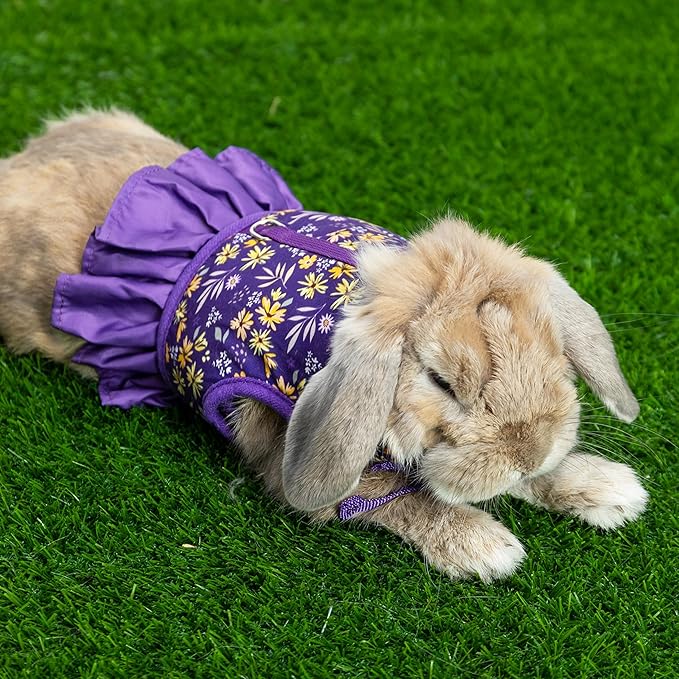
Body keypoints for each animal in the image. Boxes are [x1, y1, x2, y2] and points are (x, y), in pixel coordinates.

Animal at [0, 109, 648, 582]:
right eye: (440, 381)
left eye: (552, 352)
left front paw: (607, 488)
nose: (531, 450)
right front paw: (485, 546)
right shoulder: (286, 450)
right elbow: (394, 496)